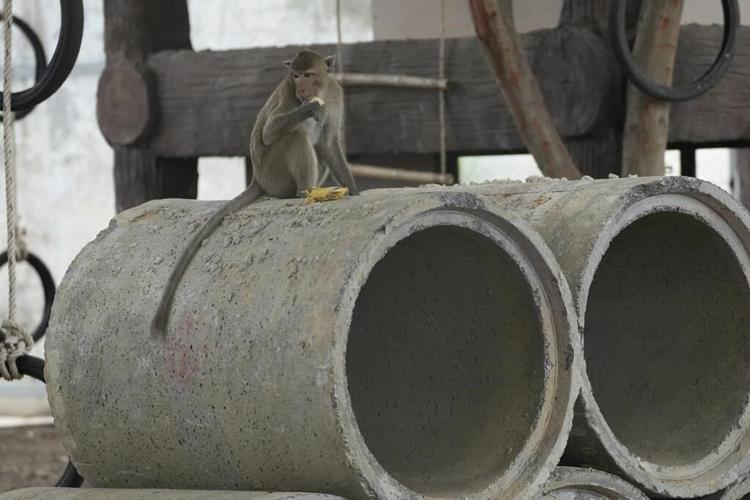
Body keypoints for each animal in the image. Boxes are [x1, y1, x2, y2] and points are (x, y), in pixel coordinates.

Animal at [150, 49, 359, 338]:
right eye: (295, 76)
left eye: (307, 75)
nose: (302, 89)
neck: (321, 91)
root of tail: (257, 179)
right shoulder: (289, 97)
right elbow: (270, 133)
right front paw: (309, 109)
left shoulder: (335, 97)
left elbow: (328, 143)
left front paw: (355, 190)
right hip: (273, 172)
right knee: (294, 138)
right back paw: (302, 193)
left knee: (317, 147)